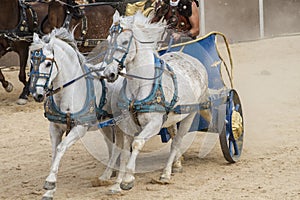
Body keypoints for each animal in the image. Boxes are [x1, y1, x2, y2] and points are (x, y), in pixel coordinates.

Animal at [29, 27, 131, 198]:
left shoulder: (80, 128)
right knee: (113, 146)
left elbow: (61, 148)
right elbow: (54, 153)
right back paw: (107, 174)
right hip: (107, 124)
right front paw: (50, 190)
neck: (69, 93)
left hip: (121, 123)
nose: (37, 95)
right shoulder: (54, 128)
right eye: (31, 63)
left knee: (120, 147)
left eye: (48, 63)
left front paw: (50, 181)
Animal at [102, 11, 210, 190]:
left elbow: (137, 143)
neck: (140, 87)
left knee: (177, 141)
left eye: (124, 42)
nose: (108, 73)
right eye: (108, 40)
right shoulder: (127, 124)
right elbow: (124, 151)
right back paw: (177, 164)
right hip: (173, 117)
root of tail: (195, 62)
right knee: (174, 137)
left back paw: (166, 174)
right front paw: (117, 183)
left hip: (190, 115)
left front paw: (128, 179)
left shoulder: (154, 124)